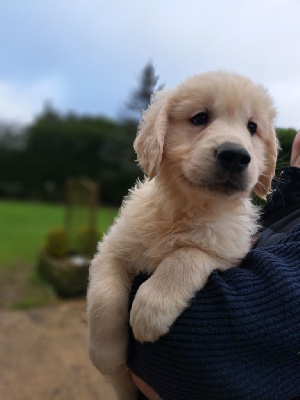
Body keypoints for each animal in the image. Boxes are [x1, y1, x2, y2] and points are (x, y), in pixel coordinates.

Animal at [88, 70, 278, 398]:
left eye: (252, 127)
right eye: (200, 118)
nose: (235, 155)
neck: (187, 207)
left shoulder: (229, 252)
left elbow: (186, 255)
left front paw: (149, 310)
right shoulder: (112, 246)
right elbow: (104, 295)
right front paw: (105, 354)